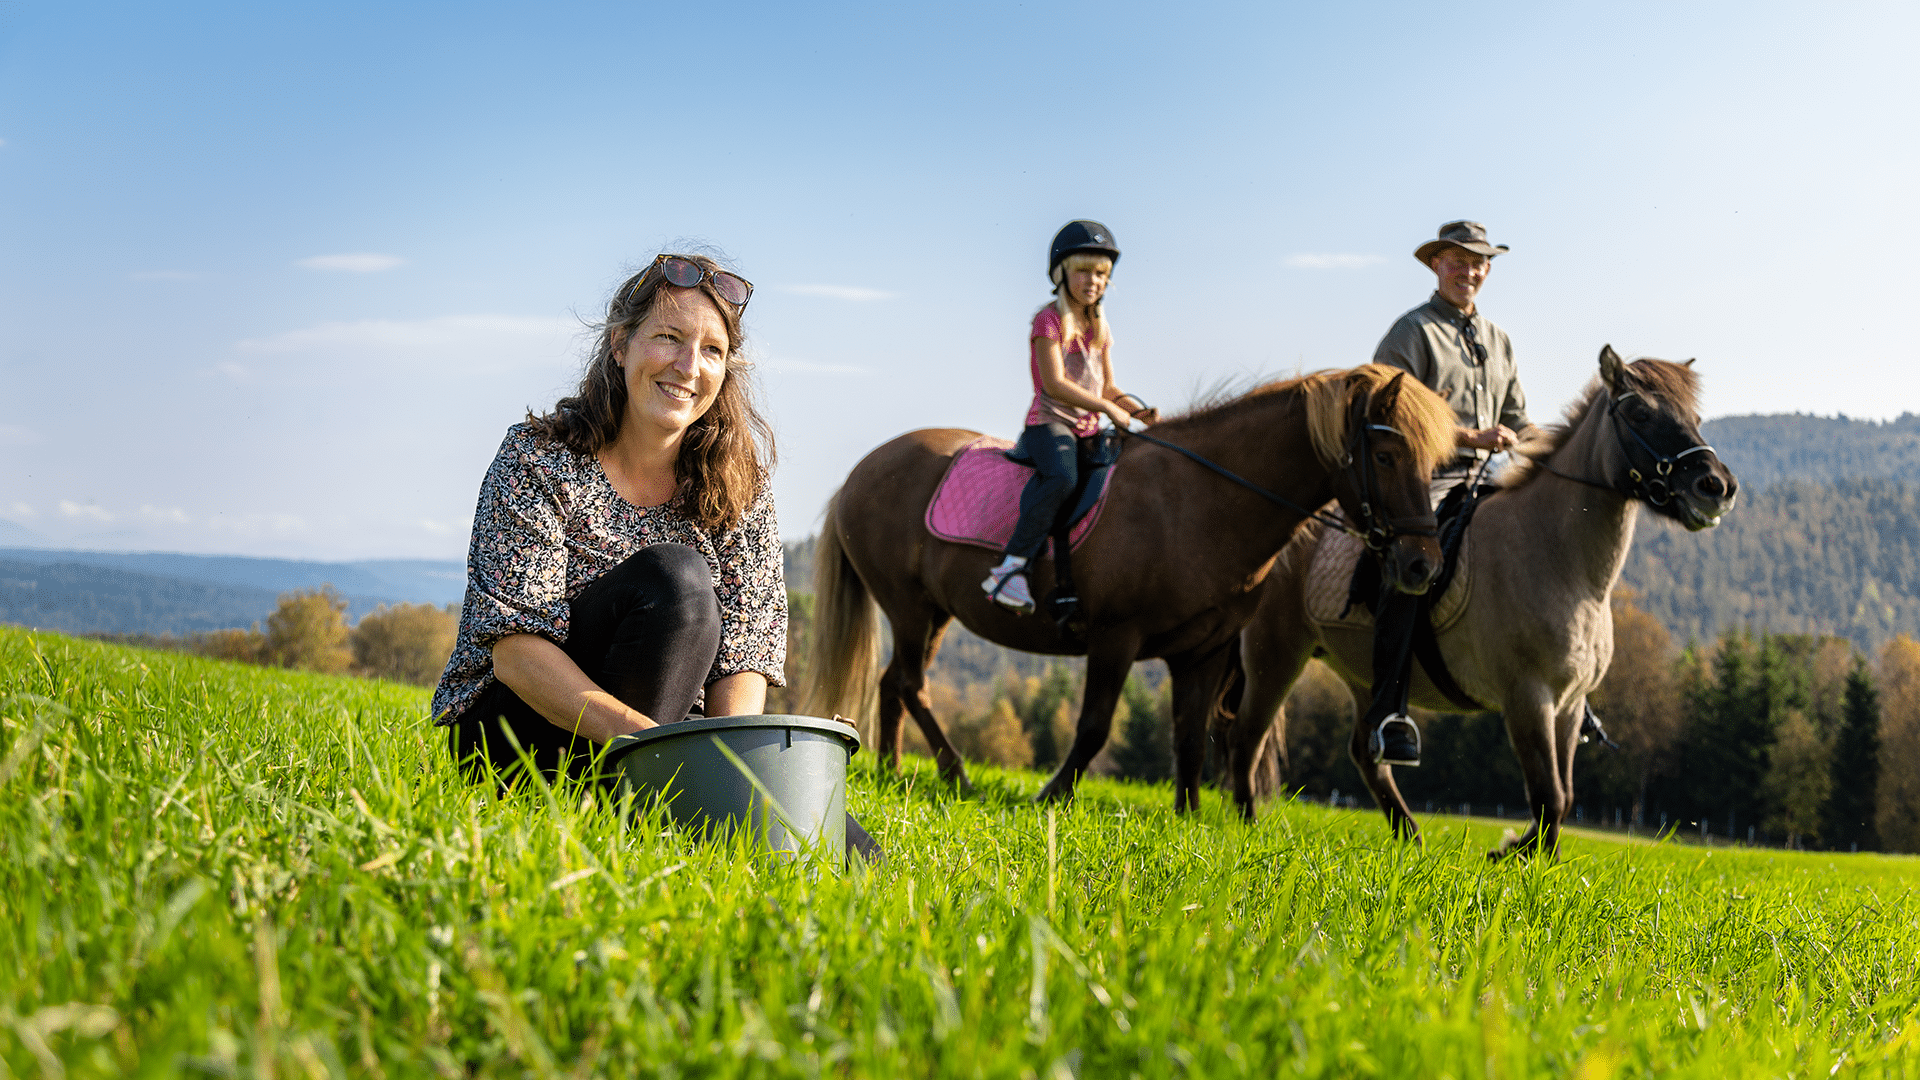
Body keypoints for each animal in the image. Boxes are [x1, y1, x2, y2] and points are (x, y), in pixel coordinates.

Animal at [802, 363, 1443, 807]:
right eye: (1387, 455)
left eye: (1434, 463)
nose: (1423, 565)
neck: (1199, 503)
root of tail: (858, 473)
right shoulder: (1115, 637)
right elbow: (1093, 729)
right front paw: (1053, 795)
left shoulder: (1205, 652)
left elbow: (1189, 740)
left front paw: (1189, 818)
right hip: (908, 606)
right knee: (911, 684)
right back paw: (953, 772)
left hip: (934, 613)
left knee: (894, 684)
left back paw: (893, 770)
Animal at [1228, 349, 1743, 853]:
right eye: (1640, 413)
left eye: (1695, 417)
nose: (1717, 487)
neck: (1561, 561)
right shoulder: (1528, 697)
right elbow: (1549, 795)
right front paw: (1514, 852)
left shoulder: (1570, 705)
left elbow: (1562, 797)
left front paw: (1530, 859)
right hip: (1275, 657)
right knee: (1249, 736)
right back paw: (1246, 827)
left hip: (1360, 674)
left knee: (1366, 752)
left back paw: (1410, 838)